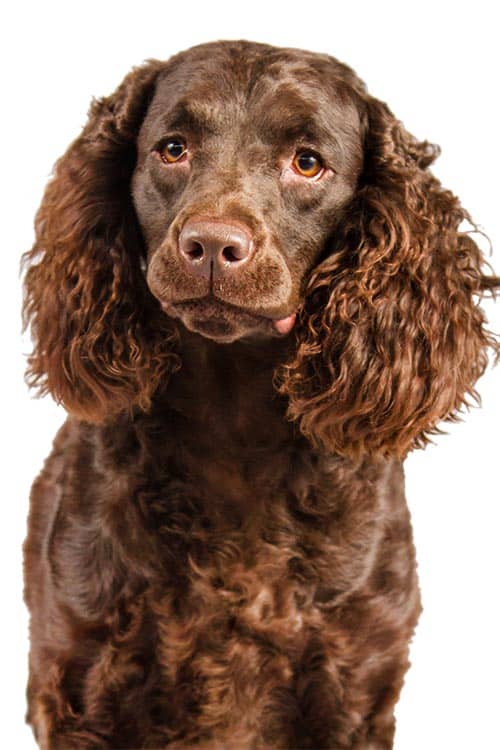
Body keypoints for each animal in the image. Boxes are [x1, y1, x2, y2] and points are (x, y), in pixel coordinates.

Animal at [24, 42, 500, 750]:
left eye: (307, 162)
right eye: (172, 149)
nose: (212, 245)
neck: (235, 427)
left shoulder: (356, 684)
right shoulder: (81, 679)